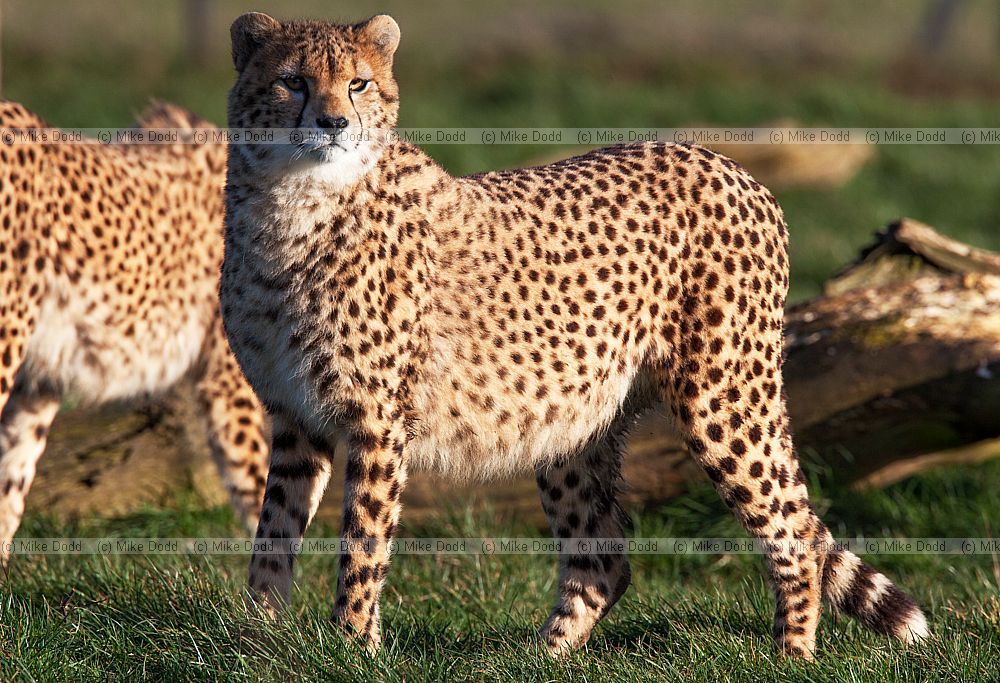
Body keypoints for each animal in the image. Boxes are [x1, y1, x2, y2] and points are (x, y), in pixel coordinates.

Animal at [221, 12, 930, 658]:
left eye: (359, 83)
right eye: (292, 81)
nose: (334, 123)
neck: (291, 206)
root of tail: (730, 165)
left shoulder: (377, 416)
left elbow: (362, 541)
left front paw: (350, 645)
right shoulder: (293, 410)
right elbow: (274, 528)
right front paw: (259, 632)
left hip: (723, 397)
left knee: (793, 529)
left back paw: (792, 656)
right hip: (573, 421)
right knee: (604, 559)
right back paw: (536, 657)